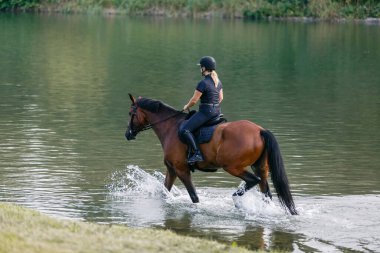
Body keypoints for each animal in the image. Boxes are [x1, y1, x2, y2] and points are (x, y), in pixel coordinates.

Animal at [124, 94, 296, 214]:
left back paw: (236, 199)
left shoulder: (181, 170)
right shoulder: (171, 170)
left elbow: (194, 197)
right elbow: (164, 192)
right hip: (260, 167)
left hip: (232, 167)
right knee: (266, 193)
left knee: (253, 181)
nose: (127, 134)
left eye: (131, 113)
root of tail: (260, 130)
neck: (171, 127)